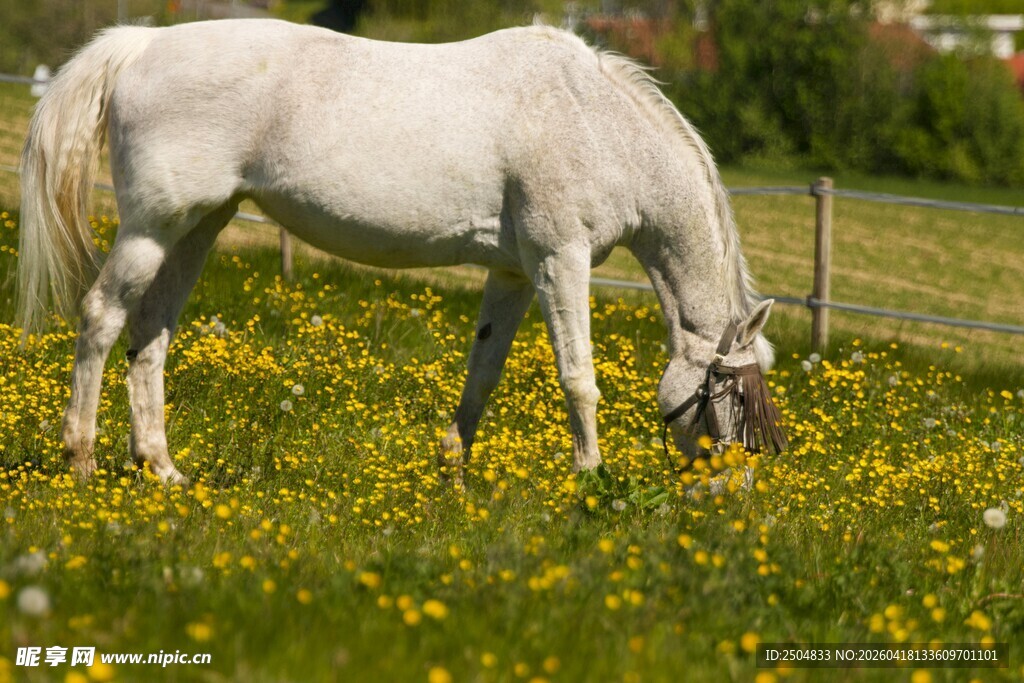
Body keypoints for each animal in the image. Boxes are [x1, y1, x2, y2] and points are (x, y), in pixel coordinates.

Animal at [17, 19, 786, 485]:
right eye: (731, 395)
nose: (734, 489)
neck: (596, 124)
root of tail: (142, 44)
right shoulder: (558, 261)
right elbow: (579, 378)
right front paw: (589, 478)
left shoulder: (512, 272)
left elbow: (483, 373)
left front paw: (453, 471)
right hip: (152, 228)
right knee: (101, 318)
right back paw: (81, 462)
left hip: (200, 228)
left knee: (151, 333)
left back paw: (163, 470)